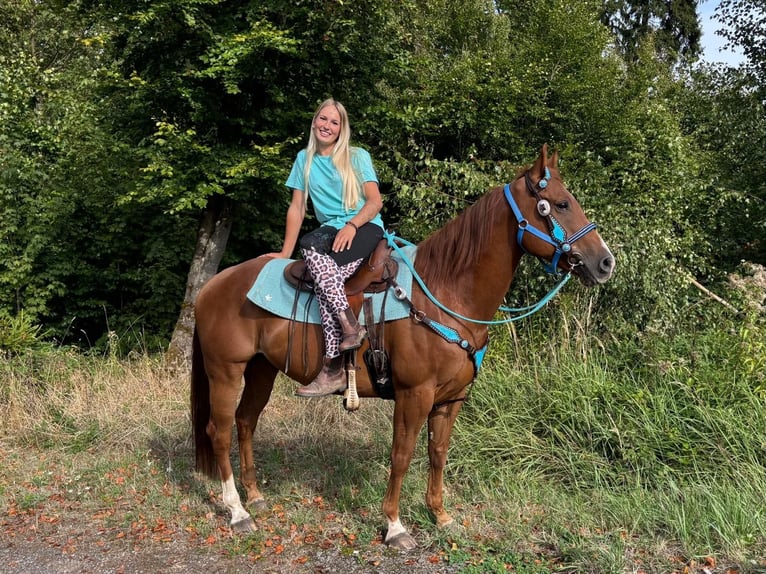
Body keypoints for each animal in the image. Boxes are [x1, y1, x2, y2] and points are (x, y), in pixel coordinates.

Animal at [190, 144, 615, 550]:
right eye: (560, 203)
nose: (605, 262)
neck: (445, 292)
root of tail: (212, 286)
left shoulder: (451, 399)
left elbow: (437, 453)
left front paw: (440, 515)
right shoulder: (415, 395)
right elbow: (402, 454)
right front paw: (395, 527)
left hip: (261, 369)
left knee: (246, 422)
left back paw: (256, 497)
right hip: (225, 370)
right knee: (219, 429)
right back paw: (237, 511)